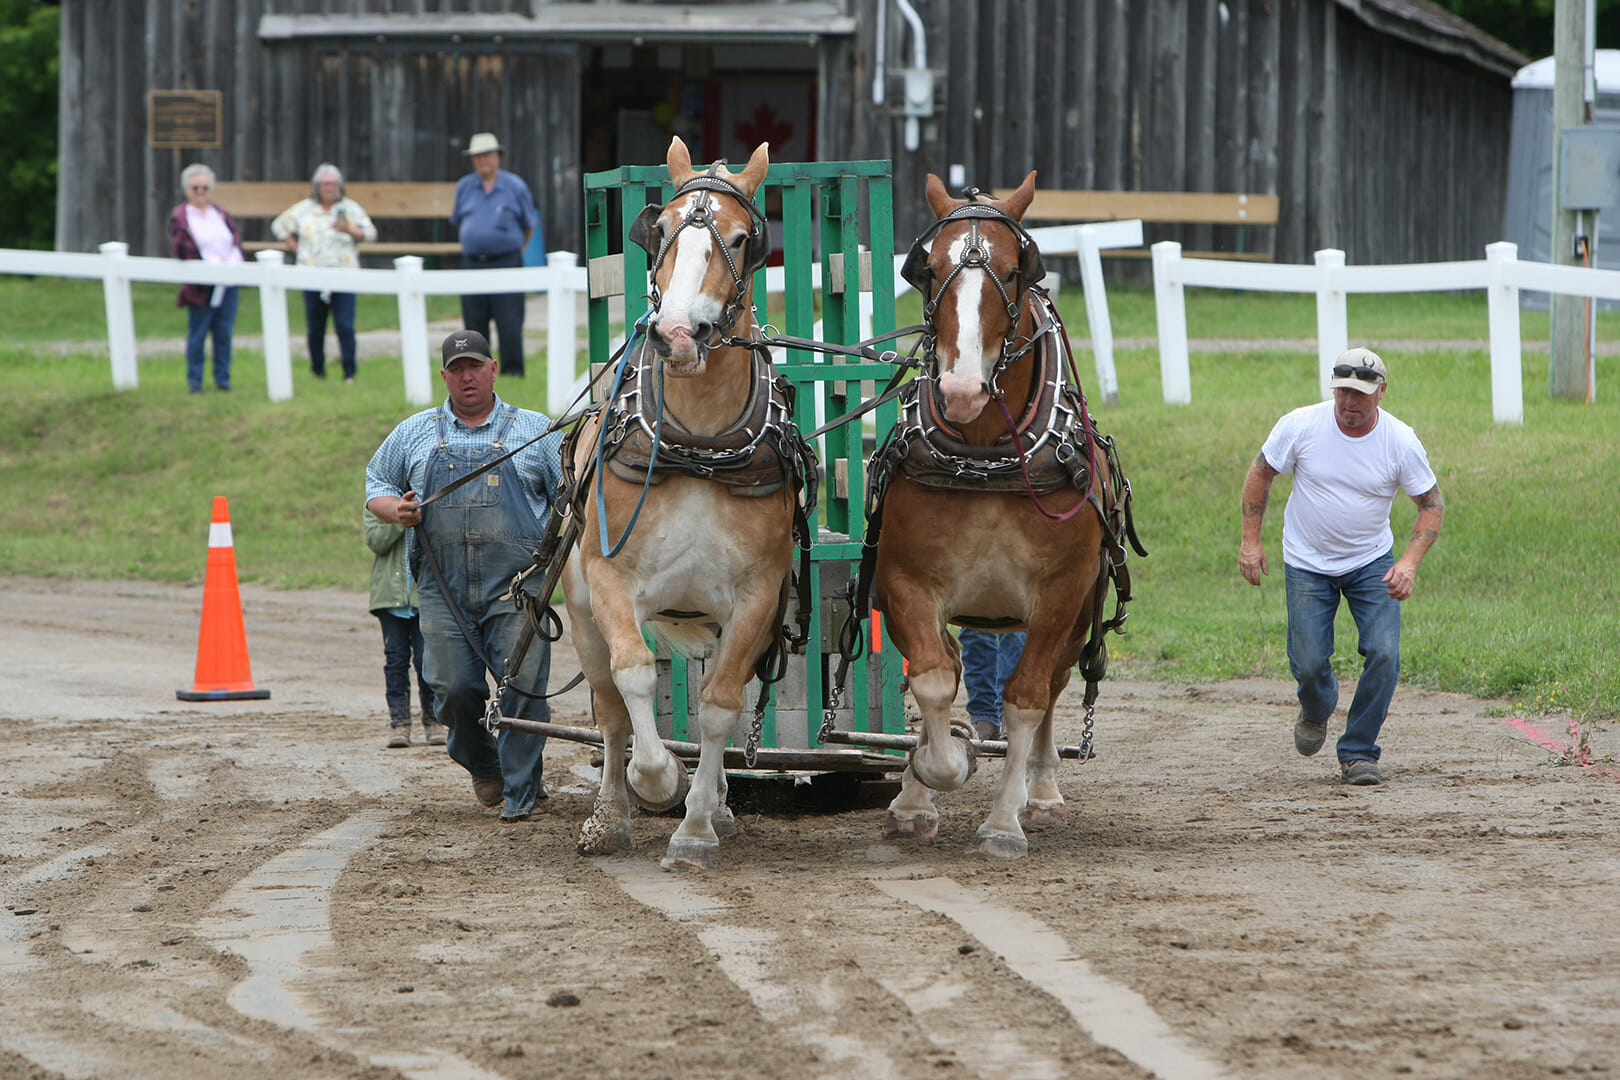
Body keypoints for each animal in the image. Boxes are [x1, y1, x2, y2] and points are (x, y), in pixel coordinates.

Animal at [563, 139, 810, 874]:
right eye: (663, 229)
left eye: (742, 238)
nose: (677, 332)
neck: (699, 447)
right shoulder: (612, 583)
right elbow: (635, 681)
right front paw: (656, 781)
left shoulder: (757, 598)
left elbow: (721, 708)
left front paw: (698, 826)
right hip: (581, 613)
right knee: (611, 708)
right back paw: (610, 816)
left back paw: (720, 804)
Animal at [874, 173, 1140, 854]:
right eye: (927, 269)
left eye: (1018, 270)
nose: (962, 390)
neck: (984, 454)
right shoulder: (906, 583)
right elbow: (933, 678)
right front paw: (927, 779)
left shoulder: (1061, 595)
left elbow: (1025, 699)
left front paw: (1002, 822)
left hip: (1077, 616)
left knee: (1051, 690)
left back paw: (1038, 793)